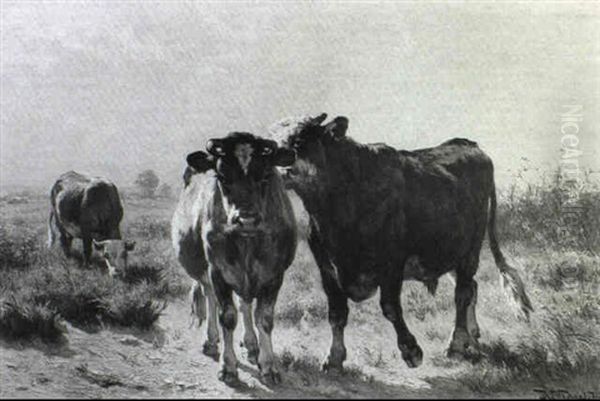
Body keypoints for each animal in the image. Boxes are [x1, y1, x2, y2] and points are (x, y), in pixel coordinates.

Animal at [171, 133, 298, 382]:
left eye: (265, 175)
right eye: (222, 176)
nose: (246, 219)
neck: (248, 241)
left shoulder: (274, 275)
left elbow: (264, 318)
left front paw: (269, 365)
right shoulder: (218, 272)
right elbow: (227, 317)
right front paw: (228, 366)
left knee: (245, 304)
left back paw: (251, 345)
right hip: (207, 274)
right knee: (210, 298)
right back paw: (211, 341)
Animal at [270, 112, 532, 368]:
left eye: (299, 141)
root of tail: (468, 144)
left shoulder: (392, 262)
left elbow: (390, 308)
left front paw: (411, 350)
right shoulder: (326, 267)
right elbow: (336, 313)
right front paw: (333, 358)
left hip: (471, 248)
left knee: (463, 293)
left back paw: (456, 343)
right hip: (447, 251)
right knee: (471, 288)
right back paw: (472, 335)